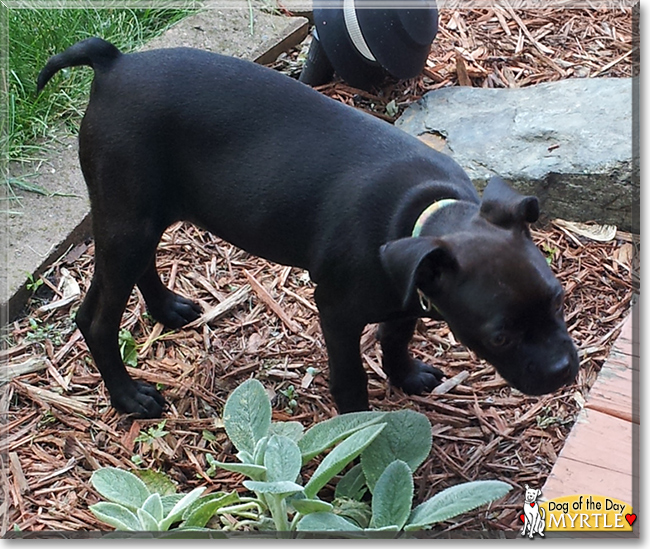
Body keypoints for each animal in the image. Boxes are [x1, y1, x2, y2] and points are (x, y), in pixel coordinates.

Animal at [36, 38, 576, 416]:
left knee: (134, 268)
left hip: (139, 215)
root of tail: (113, 63)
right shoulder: (338, 313)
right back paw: (128, 397)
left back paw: (166, 307)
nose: (564, 369)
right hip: (127, 218)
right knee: (96, 320)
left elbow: (397, 333)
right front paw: (358, 431)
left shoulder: (408, 289)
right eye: (500, 337)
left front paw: (404, 375)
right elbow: (350, 378)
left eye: (558, 301)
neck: (422, 209)